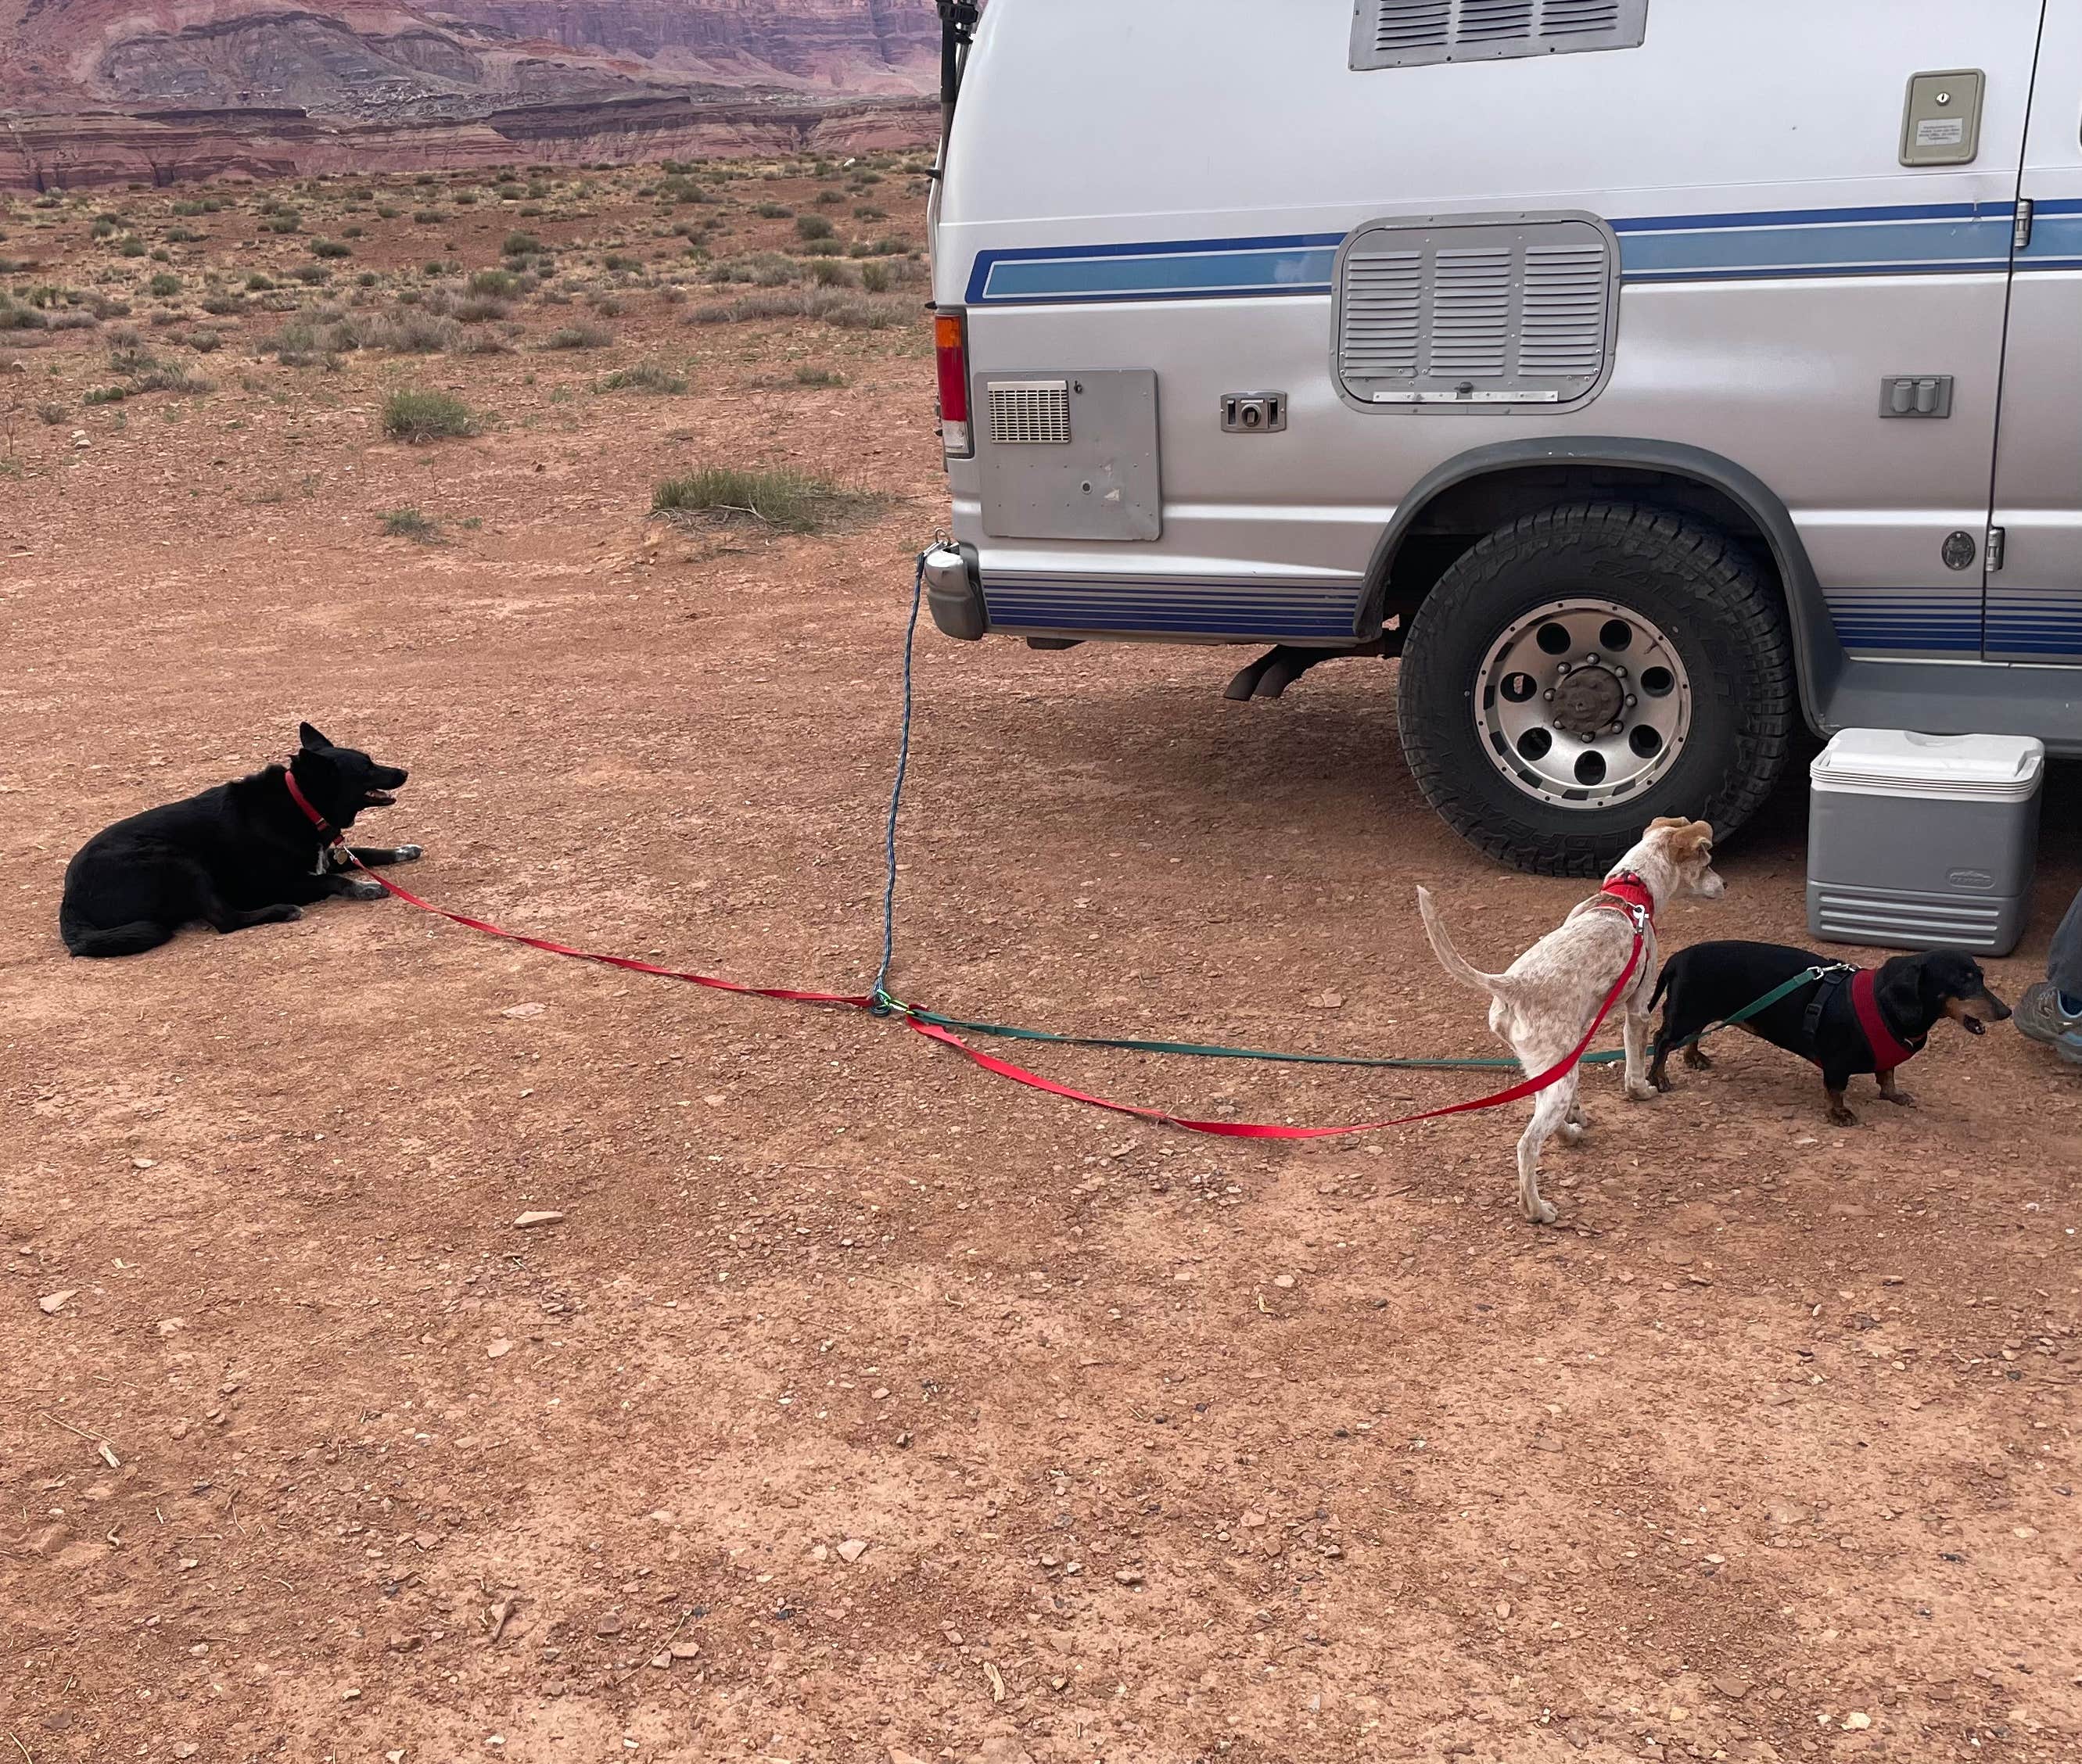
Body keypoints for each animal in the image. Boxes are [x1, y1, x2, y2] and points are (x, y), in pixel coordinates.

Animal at [60, 724, 420, 958]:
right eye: (367, 767)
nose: (403, 772)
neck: (299, 802)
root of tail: (71, 900)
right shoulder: (283, 883)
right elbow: (334, 880)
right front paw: (365, 888)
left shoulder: (322, 856)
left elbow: (362, 852)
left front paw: (403, 851)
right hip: (178, 861)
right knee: (226, 921)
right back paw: (282, 911)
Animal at [1416, 816, 1724, 1224]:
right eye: (1706, 863)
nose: (1725, 885)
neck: (1630, 891)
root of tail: (1513, 984)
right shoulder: (1638, 1009)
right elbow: (1635, 1069)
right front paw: (1643, 1091)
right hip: (1560, 1073)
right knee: (1528, 1144)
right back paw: (1537, 1209)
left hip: (1548, 1067)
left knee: (1546, 1116)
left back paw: (1570, 1133)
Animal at [1649, 945, 2007, 1124]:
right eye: (1962, 981)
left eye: (1981, 976)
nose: (2006, 1012)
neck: (1882, 1002)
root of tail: (1677, 958)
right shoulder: (1837, 1063)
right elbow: (1836, 1090)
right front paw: (1839, 1113)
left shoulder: (1885, 1061)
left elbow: (1888, 1074)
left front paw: (1893, 1094)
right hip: (1686, 1013)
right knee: (1661, 1040)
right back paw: (1659, 1078)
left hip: (1698, 1011)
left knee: (1690, 1036)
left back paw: (1694, 1057)